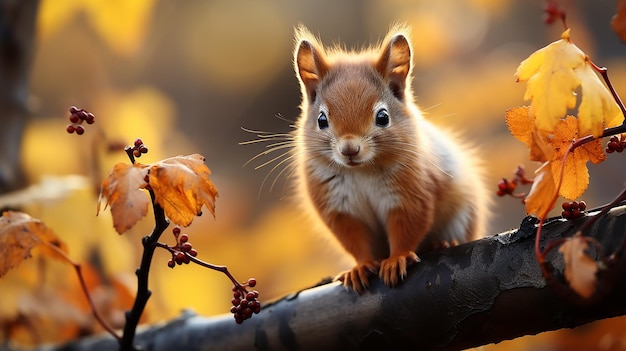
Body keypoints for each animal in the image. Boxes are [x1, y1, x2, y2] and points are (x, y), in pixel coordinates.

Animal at [272, 24, 488, 292]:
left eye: (383, 117)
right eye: (321, 119)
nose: (349, 149)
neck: (361, 170)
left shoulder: (410, 194)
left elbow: (407, 227)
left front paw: (396, 259)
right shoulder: (339, 208)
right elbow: (354, 240)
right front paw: (360, 267)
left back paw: (440, 244)